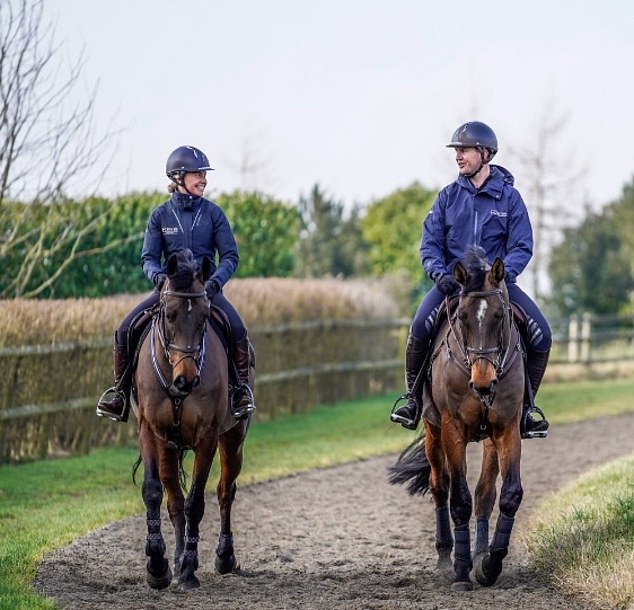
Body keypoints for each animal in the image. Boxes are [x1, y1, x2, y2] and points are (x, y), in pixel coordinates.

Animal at [130, 247, 249, 588]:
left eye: (204, 316)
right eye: (169, 314)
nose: (187, 379)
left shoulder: (207, 436)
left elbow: (196, 502)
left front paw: (188, 569)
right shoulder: (150, 430)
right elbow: (154, 492)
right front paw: (157, 566)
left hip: (233, 439)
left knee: (225, 491)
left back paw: (224, 557)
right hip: (169, 446)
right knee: (173, 499)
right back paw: (176, 557)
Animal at [390, 246, 524, 588]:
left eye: (499, 315)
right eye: (462, 317)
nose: (483, 383)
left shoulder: (506, 428)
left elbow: (507, 495)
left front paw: (488, 565)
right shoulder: (453, 430)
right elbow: (459, 500)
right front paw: (462, 570)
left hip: (489, 439)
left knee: (485, 493)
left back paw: (480, 554)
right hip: (433, 430)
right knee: (440, 485)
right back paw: (444, 557)